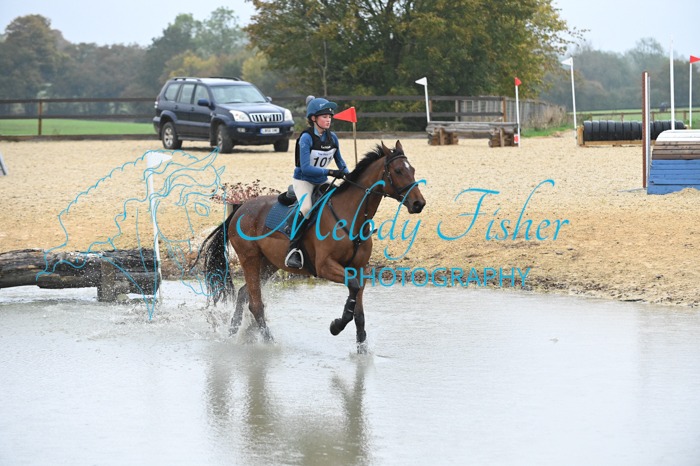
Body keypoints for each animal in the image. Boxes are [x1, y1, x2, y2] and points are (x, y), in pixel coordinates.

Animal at [198, 140, 426, 351]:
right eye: (398, 171)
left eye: (413, 169)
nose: (419, 204)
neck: (351, 216)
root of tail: (240, 208)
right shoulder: (325, 267)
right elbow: (351, 290)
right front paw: (336, 326)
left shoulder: (359, 268)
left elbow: (359, 312)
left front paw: (362, 351)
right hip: (250, 258)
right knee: (255, 303)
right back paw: (269, 342)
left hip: (270, 264)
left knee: (244, 293)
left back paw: (232, 333)